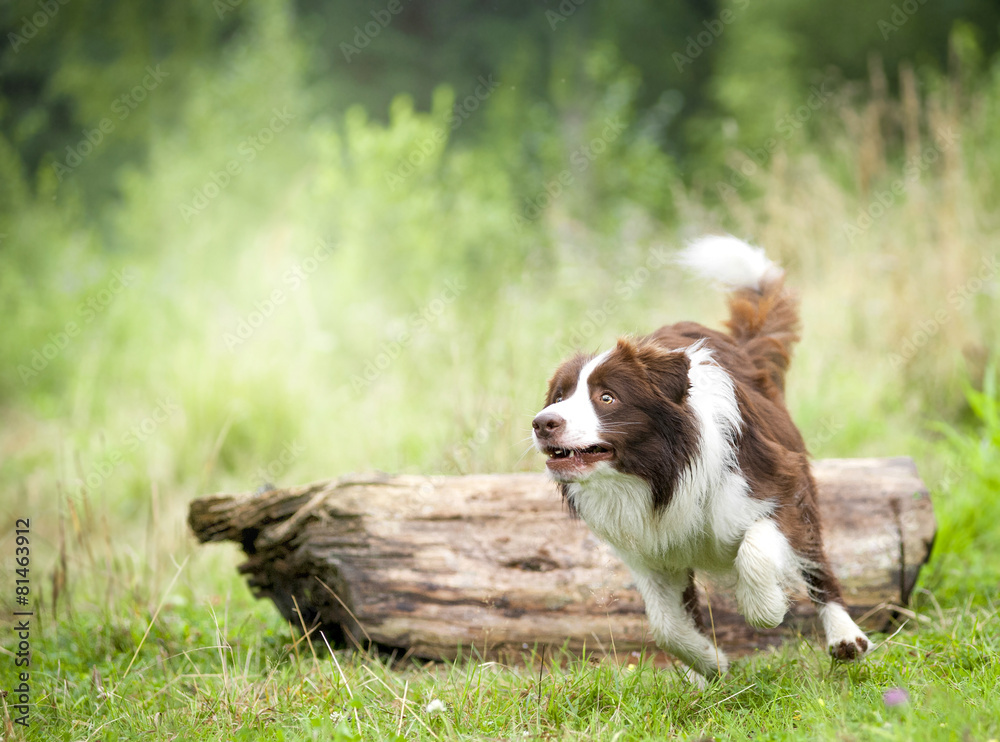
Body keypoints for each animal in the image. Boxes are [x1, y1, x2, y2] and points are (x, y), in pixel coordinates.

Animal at [532, 238, 868, 684]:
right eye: (559, 396)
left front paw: (766, 609)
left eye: (607, 397)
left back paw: (845, 637)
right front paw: (712, 664)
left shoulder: (776, 482)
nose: (542, 423)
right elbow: (666, 625)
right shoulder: (649, 550)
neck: (662, 472)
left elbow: (756, 551)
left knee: (817, 567)